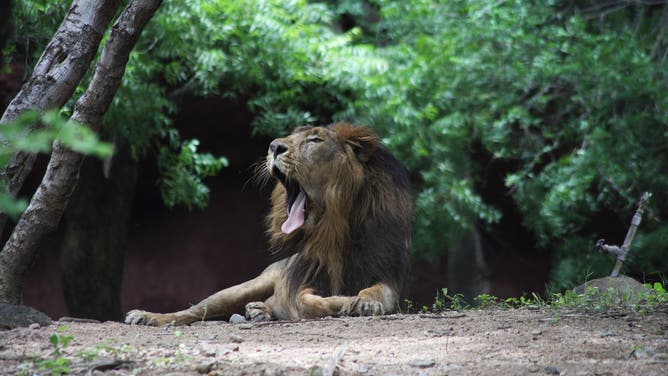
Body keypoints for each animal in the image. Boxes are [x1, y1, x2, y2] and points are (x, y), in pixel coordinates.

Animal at [122, 123, 410, 326]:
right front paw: (345, 300)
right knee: (195, 311)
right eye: (291, 137)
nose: (273, 146)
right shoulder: (300, 280)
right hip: (241, 288)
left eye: (314, 140)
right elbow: (308, 302)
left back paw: (260, 310)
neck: (334, 230)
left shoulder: (387, 274)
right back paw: (148, 316)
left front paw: (364, 302)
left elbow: (377, 291)